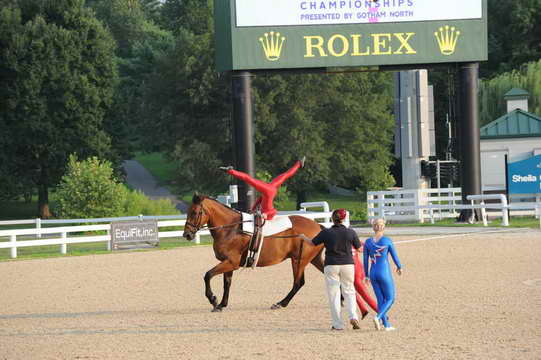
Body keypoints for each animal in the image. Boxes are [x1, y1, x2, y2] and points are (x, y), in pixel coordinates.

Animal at [181, 194, 324, 312]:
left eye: (195, 212)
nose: (187, 234)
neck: (232, 228)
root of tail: (318, 226)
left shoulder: (231, 262)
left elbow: (208, 275)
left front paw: (213, 299)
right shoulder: (228, 263)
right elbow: (227, 284)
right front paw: (221, 304)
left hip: (298, 261)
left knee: (298, 283)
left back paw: (281, 303)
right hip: (313, 259)